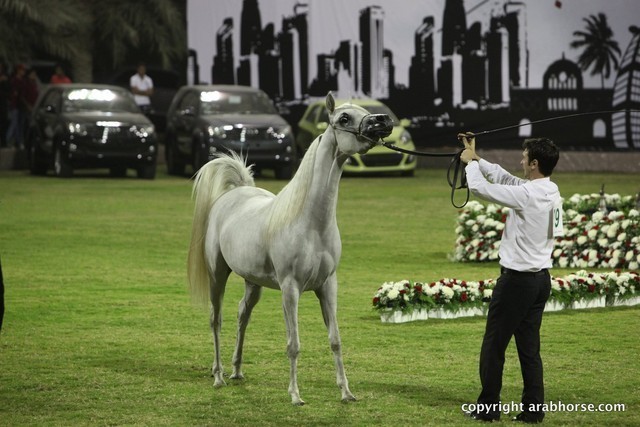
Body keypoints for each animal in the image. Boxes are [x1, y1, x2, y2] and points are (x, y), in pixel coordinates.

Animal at [187, 92, 393, 405]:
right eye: (343, 118)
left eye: (364, 110)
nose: (383, 121)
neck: (309, 222)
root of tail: (234, 192)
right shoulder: (290, 288)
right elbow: (293, 344)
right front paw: (295, 395)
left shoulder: (328, 286)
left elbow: (335, 340)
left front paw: (346, 392)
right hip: (217, 275)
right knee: (216, 319)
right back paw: (219, 376)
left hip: (253, 283)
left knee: (242, 315)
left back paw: (236, 371)